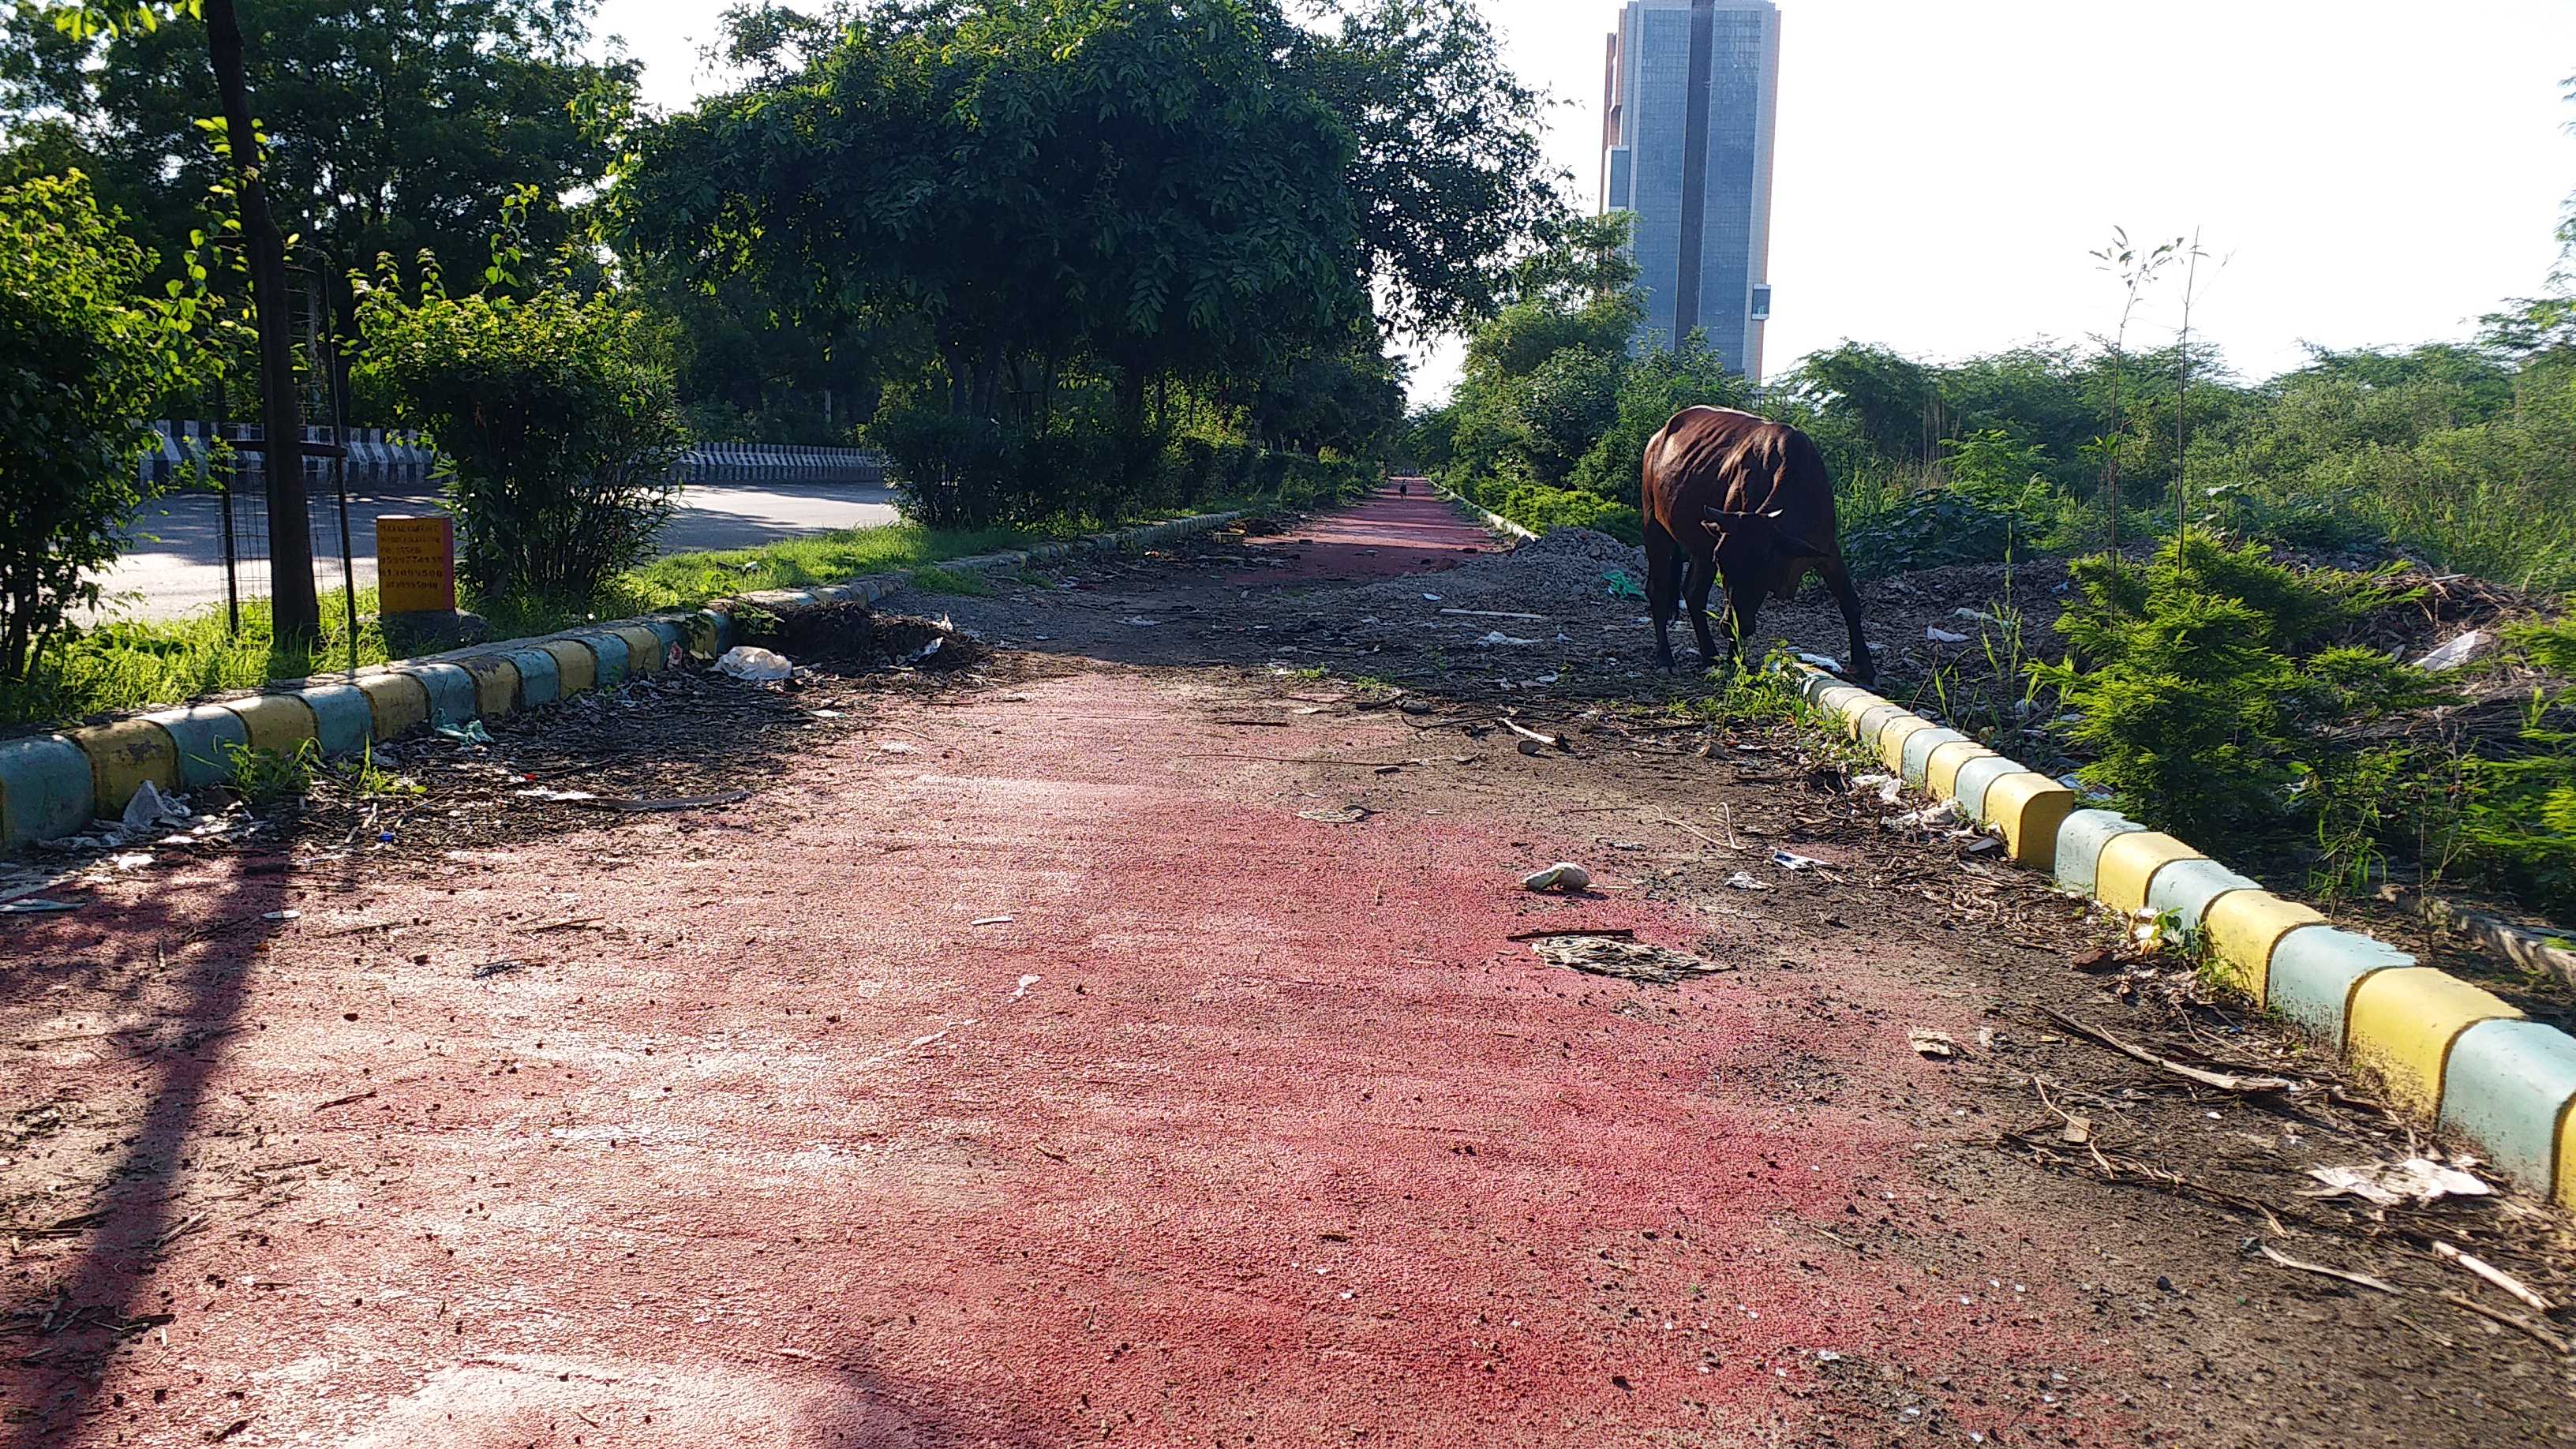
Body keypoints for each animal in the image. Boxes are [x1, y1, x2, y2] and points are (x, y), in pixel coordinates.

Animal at [1648, 399, 1875, 680]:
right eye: (1723, 563)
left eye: (1763, 564)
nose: (1726, 626)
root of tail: (1659, 437)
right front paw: (1736, 661)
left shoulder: (1827, 549)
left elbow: (1849, 601)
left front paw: (1864, 666)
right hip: (1654, 525)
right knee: (1658, 590)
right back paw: (1665, 656)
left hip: (1701, 548)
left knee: (1693, 593)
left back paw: (1710, 654)